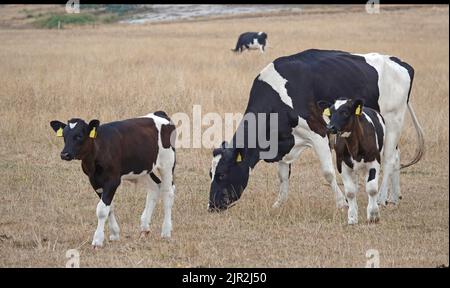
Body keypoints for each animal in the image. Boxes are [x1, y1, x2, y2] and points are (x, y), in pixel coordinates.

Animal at [48, 111, 176, 248]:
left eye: (79, 136)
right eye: (64, 136)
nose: (64, 154)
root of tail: (159, 113)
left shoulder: (113, 180)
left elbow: (102, 210)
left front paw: (97, 240)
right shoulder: (94, 181)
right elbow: (109, 206)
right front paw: (114, 234)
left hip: (167, 163)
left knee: (168, 192)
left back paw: (166, 231)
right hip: (143, 168)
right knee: (155, 187)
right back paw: (144, 227)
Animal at [209, 49, 424, 212]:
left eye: (222, 174)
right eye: (210, 173)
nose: (212, 206)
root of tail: (399, 62)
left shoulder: (318, 131)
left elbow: (328, 172)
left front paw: (342, 203)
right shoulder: (283, 141)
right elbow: (283, 175)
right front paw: (278, 204)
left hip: (393, 119)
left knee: (388, 159)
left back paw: (380, 198)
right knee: (396, 156)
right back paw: (393, 197)